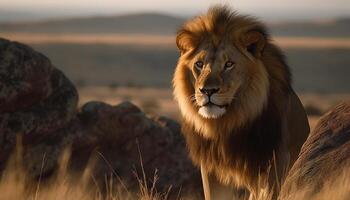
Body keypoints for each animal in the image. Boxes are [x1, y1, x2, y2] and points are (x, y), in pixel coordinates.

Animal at [172, 5, 308, 199]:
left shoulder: (275, 163)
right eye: (199, 64)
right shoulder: (211, 168)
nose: (207, 91)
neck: (227, 125)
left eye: (229, 64)